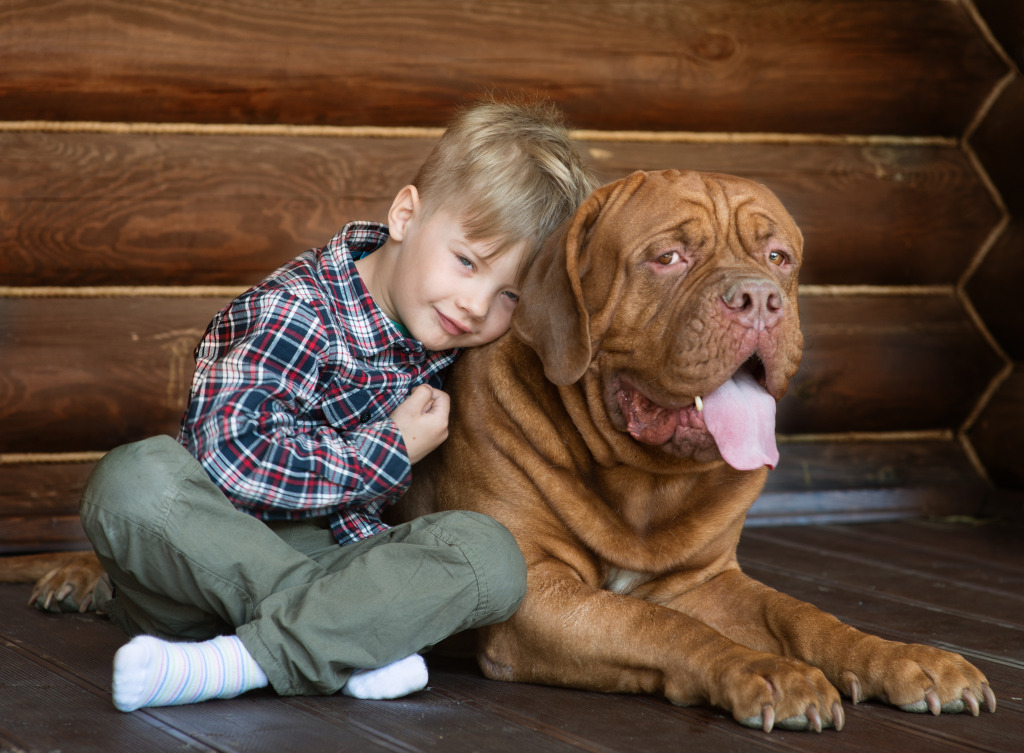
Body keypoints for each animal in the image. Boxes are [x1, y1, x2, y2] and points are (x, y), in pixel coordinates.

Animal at [0, 169, 991, 729]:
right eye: (669, 257)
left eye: (780, 256)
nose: (759, 299)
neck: (641, 484)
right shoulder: (542, 596)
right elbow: (661, 627)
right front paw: (761, 672)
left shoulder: (708, 582)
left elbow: (805, 615)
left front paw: (907, 657)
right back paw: (82, 579)